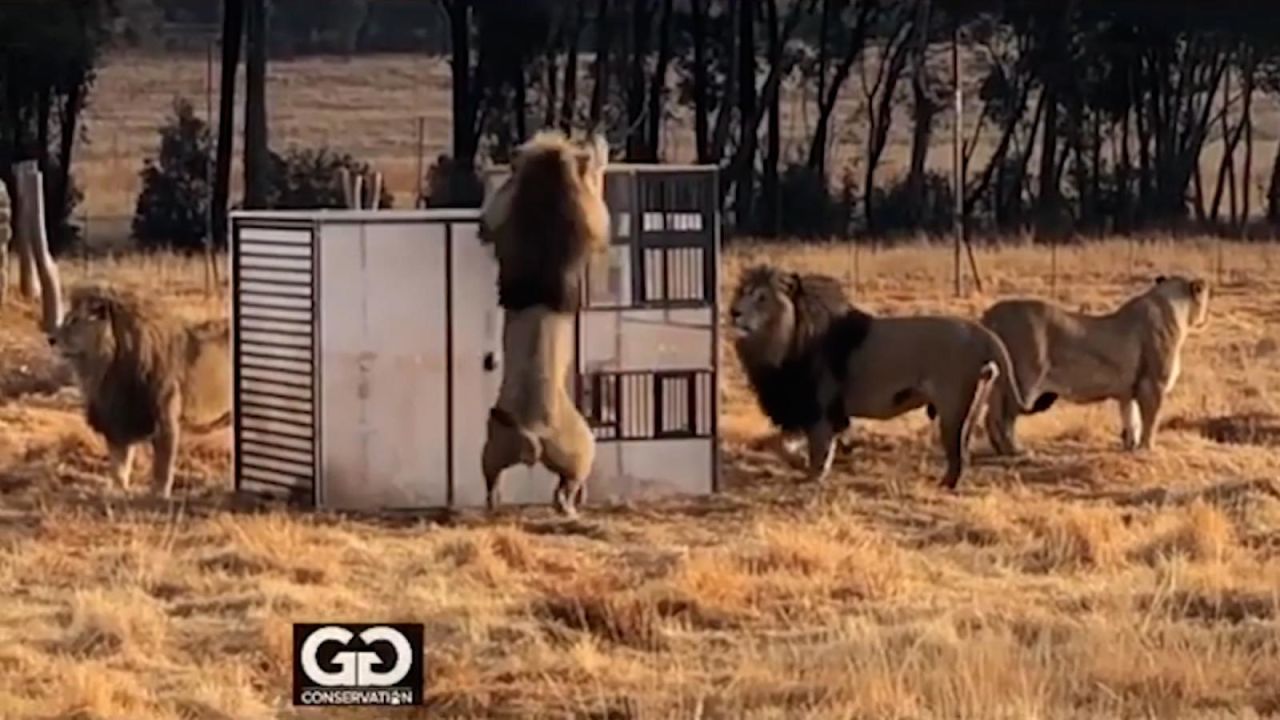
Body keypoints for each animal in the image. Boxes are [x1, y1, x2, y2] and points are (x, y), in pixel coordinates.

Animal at [48, 283, 232, 497]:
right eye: (67, 318)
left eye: (75, 320)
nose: (50, 339)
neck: (106, 368)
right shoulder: (118, 423)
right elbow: (119, 468)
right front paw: (118, 493)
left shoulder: (165, 424)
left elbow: (162, 470)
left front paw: (158, 495)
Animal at [478, 126, 611, 512]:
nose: (598, 137)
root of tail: (532, 434)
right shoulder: (589, 211)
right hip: (583, 451)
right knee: (565, 489)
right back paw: (572, 508)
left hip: (492, 449)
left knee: (492, 481)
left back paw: (496, 503)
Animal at [732, 263, 1039, 486]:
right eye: (741, 292)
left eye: (761, 298)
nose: (734, 312)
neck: (780, 341)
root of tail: (981, 331)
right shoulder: (801, 410)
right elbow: (779, 444)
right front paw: (801, 463)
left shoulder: (817, 408)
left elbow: (816, 449)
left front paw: (813, 475)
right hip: (972, 403)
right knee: (963, 452)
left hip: (952, 406)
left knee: (957, 454)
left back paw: (945, 485)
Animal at [977, 272, 1208, 453]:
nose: (1204, 319)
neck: (1173, 307)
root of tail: (989, 313)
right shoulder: (1153, 385)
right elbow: (1150, 421)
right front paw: (1147, 449)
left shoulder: (1128, 391)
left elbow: (1131, 418)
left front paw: (1131, 446)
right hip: (1023, 380)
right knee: (1002, 417)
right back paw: (1015, 450)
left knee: (993, 415)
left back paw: (1003, 450)